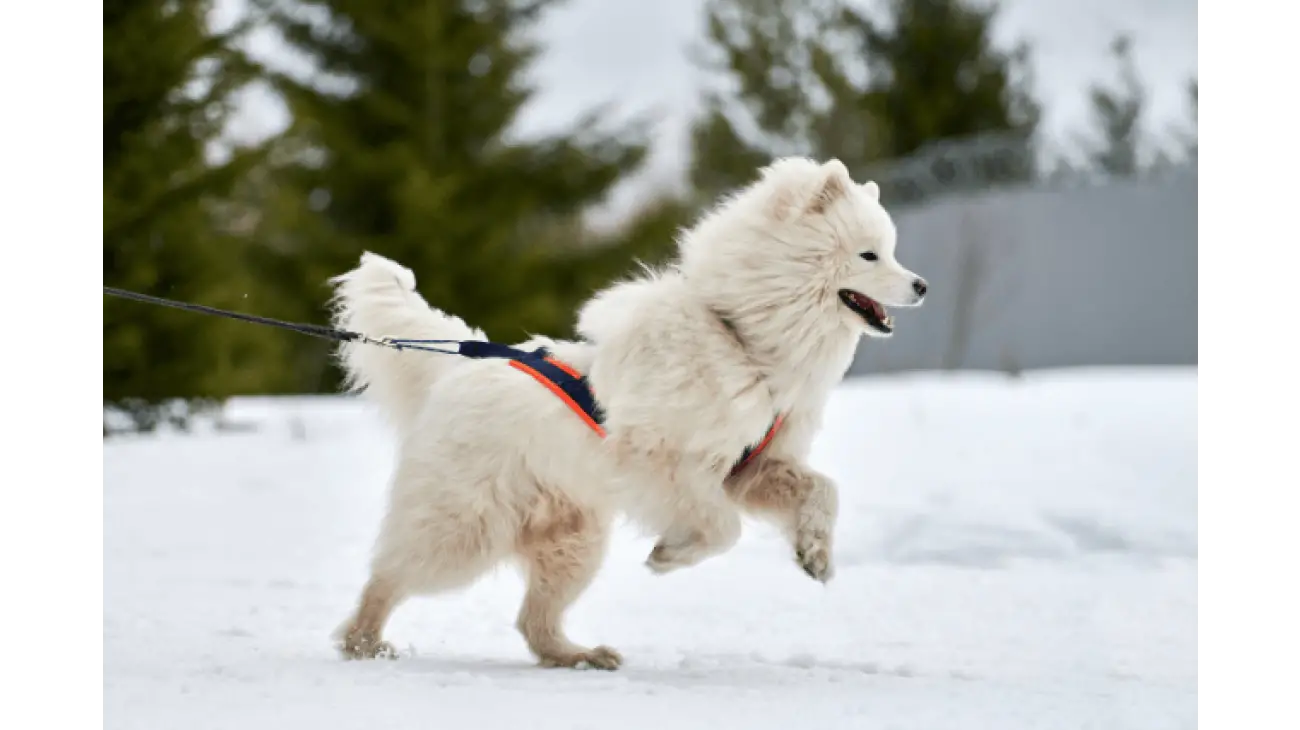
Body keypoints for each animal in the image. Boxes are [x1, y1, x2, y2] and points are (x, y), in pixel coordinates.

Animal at [330, 156, 930, 670]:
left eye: (893, 251)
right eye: (870, 255)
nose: (923, 285)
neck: (744, 341)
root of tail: (456, 367)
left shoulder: (751, 467)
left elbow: (823, 489)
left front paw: (816, 555)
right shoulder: (662, 462)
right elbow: (723, 527)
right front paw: (668, 556)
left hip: (573, 541)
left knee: (533, 621)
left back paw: (580, 656)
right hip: (466, 527)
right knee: (391, 575)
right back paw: (364, 642)